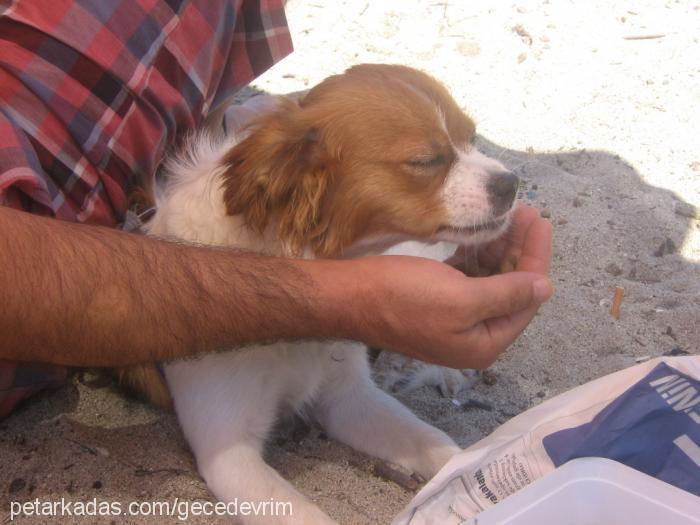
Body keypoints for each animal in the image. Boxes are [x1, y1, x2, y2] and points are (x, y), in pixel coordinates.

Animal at [126, 65, 520, 524]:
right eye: (425, 161)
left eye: (473, 137)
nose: (511, 183)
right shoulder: (228, 451)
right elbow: (306, 514)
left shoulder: (349, 399)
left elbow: (440, 447)